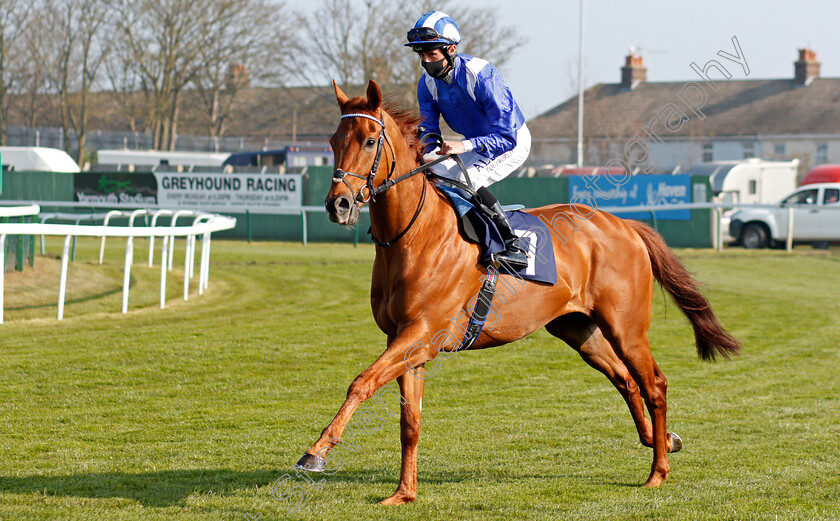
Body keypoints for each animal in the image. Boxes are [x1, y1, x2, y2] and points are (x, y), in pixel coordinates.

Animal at [296, 80, 740, 504]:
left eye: (370, 140)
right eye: (334, 140)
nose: (338, 204)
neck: (413, 235)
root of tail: (626, 224)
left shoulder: (422, 334)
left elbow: (362, 382)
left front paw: (315, 453)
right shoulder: (405, 341)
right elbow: (410, 421)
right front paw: (404, 493)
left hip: (626, 326)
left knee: (654, 385)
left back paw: (657, 471)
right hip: (579, 329)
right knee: (626, 381)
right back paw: (662, 440)